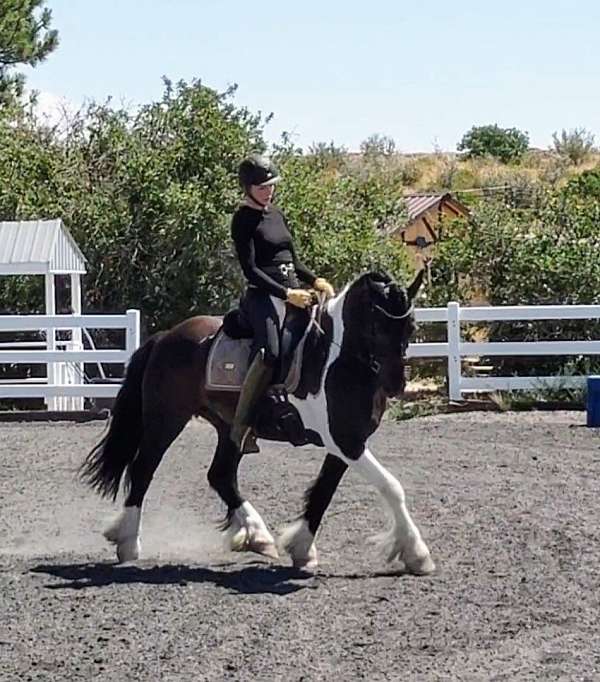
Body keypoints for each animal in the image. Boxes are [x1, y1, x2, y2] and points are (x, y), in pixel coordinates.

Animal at [79, 270, 436, 572]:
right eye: (376, 325)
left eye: (411, 326)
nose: (396, 383)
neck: (336, 360)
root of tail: (165, 337)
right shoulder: (346, 441)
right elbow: (391, 486)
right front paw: (417, 553)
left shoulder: (346, 442)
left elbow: (324, 492)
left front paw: (302, 549)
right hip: (166, 419)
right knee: (143, 469)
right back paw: (128, 543)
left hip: (230, 428)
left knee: (220, 475)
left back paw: (257, 536)